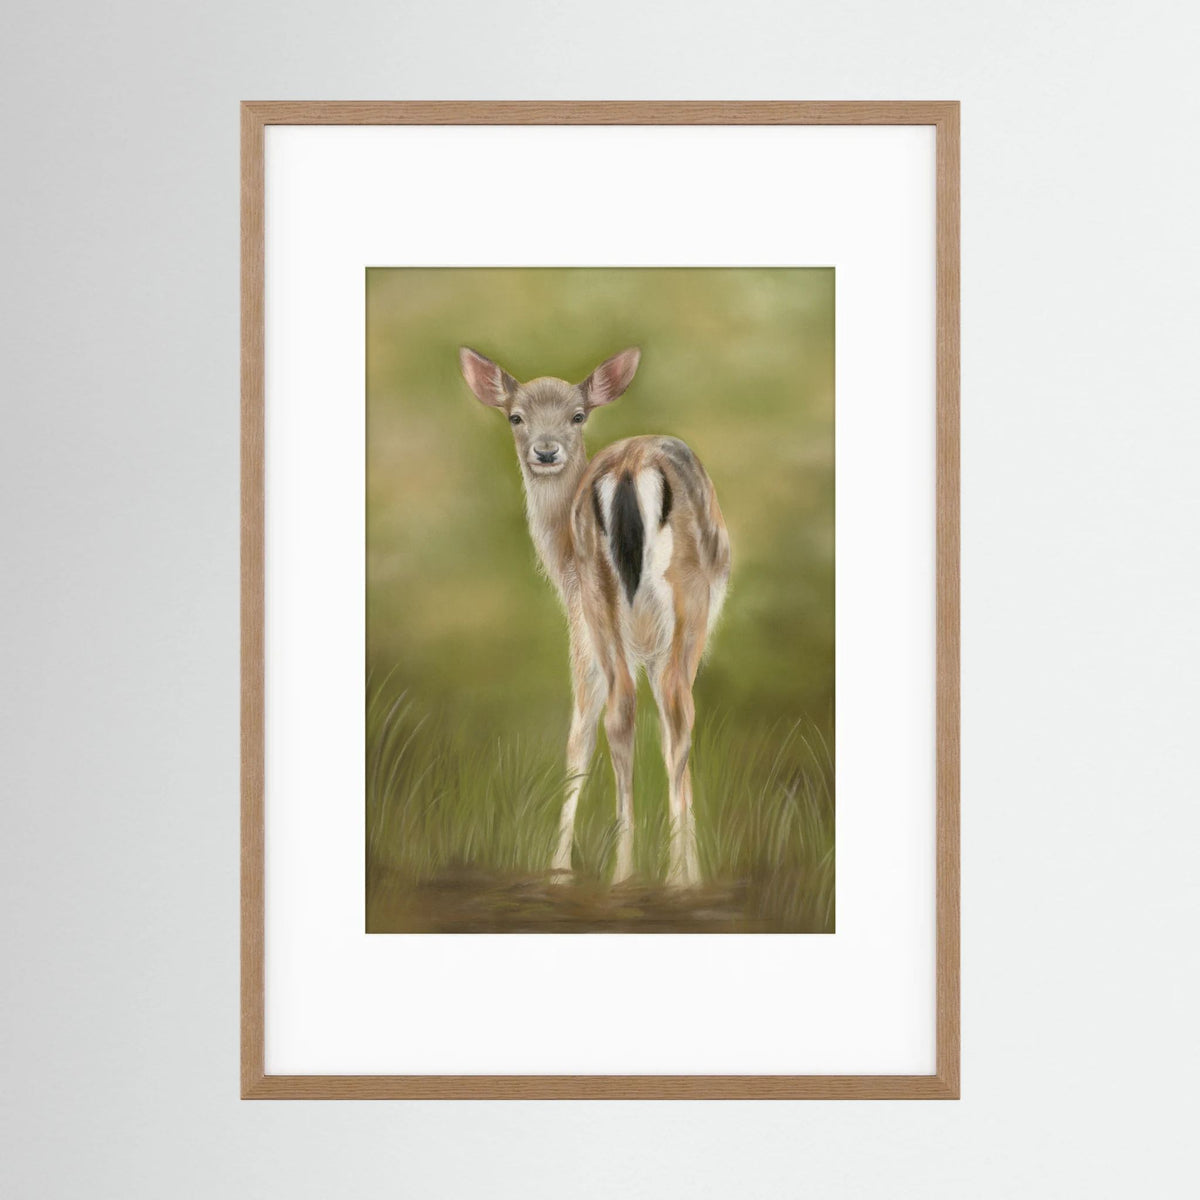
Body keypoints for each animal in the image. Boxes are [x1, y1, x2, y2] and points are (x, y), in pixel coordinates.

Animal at [459, 346, 731, 888]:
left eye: (577, 415)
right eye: (515, 416)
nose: (545, 452)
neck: (559, 561)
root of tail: (628, 469)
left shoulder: (591, 625)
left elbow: (587, 731)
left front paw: (559, 868)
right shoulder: (589, 631)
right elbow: (592, 732)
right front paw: (562, 866)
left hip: (605, 596)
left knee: (630, 709)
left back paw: (629, 872)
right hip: (674, 602)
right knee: (669, 710)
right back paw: (662, 877)